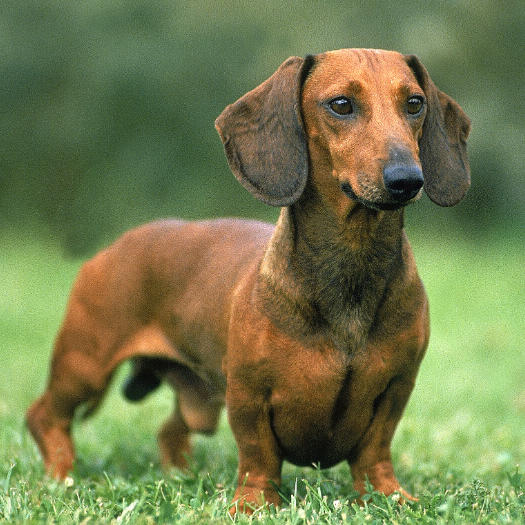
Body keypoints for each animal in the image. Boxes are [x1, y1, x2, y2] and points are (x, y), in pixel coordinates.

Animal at [24, 48, 468, 508]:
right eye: (341, 104)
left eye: (414, 103)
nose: (408, 180)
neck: (351, 266)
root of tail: (113, 247)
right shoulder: (248, 393)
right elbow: (259, 455)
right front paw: (254, 503)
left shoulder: (396, 388)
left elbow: (375, 449)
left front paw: (389, 496)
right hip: (84, 364)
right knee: (43, 416)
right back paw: (61, 478)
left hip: (198, 400)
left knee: (169, 432)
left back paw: (179, 475)